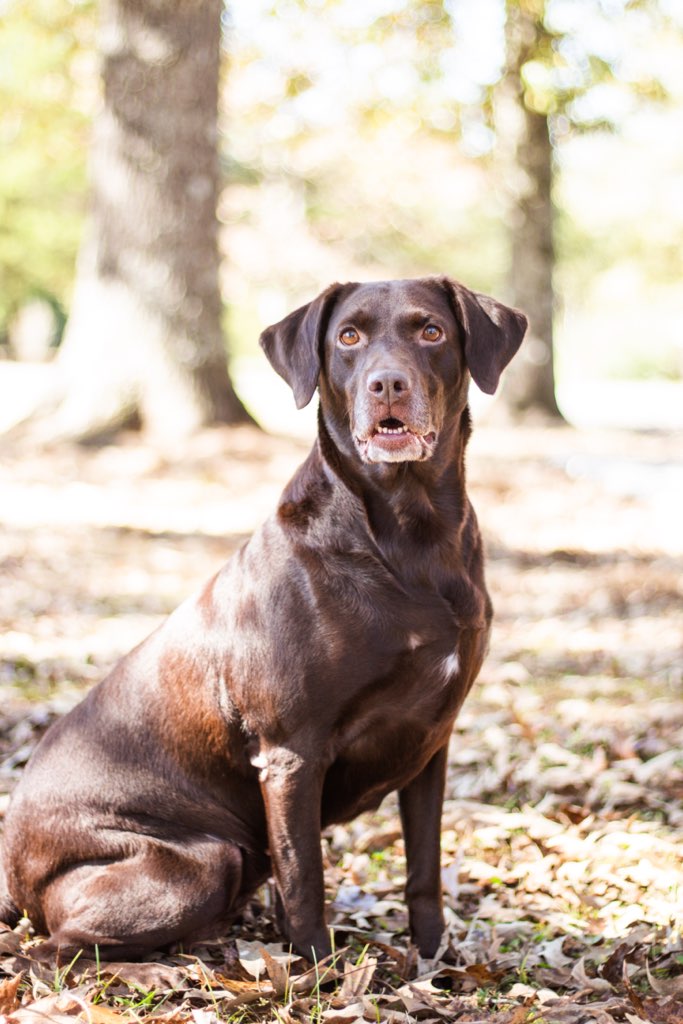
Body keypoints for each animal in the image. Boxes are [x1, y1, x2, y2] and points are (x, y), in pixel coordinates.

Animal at [0, 278, 528, 958]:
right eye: (348, 337)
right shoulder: (291, 755)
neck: (411, 532)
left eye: (431, 331)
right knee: (53, 949)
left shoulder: (431, 743)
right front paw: (317, 971)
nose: (387, 384)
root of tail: (12, 872)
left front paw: (435, 959)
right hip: (202, 859)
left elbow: (424, 871)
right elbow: (304, 880)